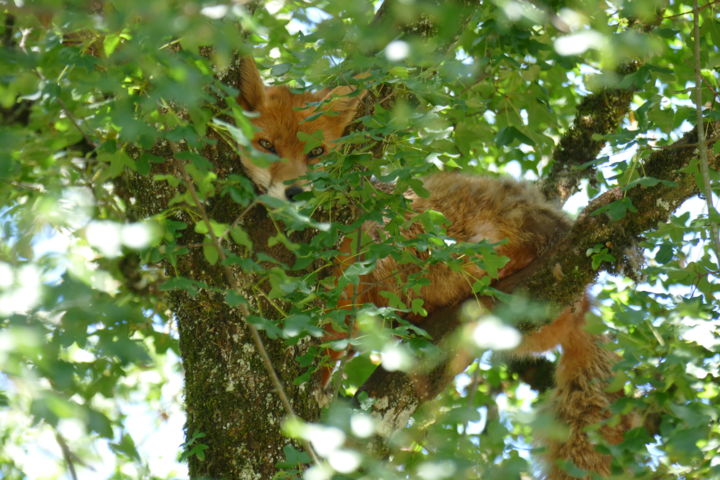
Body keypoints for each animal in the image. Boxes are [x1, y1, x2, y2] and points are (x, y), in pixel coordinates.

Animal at [235, 57, 632, 480]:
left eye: (317, 153)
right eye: (266, 145)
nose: (296, 193)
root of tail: (587, 298)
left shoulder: (346, 288)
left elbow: (325, 348)